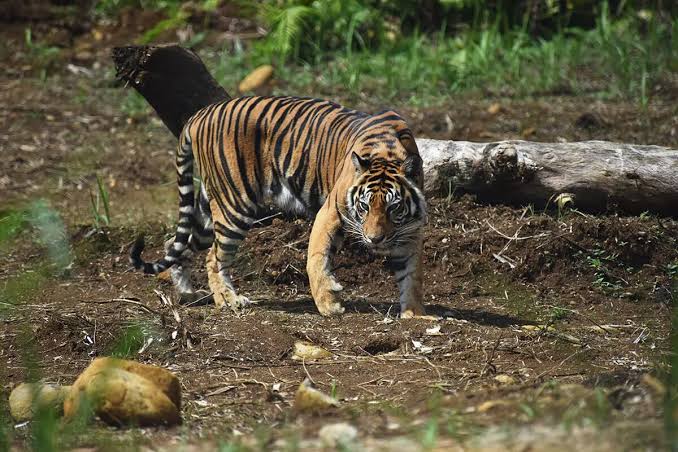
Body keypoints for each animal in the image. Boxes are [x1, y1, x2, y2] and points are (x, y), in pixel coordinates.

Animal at [130, 96, 428, 318]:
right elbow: (316, 259)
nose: (375, 239)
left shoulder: (409, 230)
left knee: (174, 243)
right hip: (234, 206)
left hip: (208, 209)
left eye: (393, 208)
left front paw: (415, 313)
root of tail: (200, 115)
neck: (387, 153)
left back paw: (187, 293)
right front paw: (328, 305)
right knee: (213, 257)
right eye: (364, 206)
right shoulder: (330, 212)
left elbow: (412, 274)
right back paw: (228, 300)